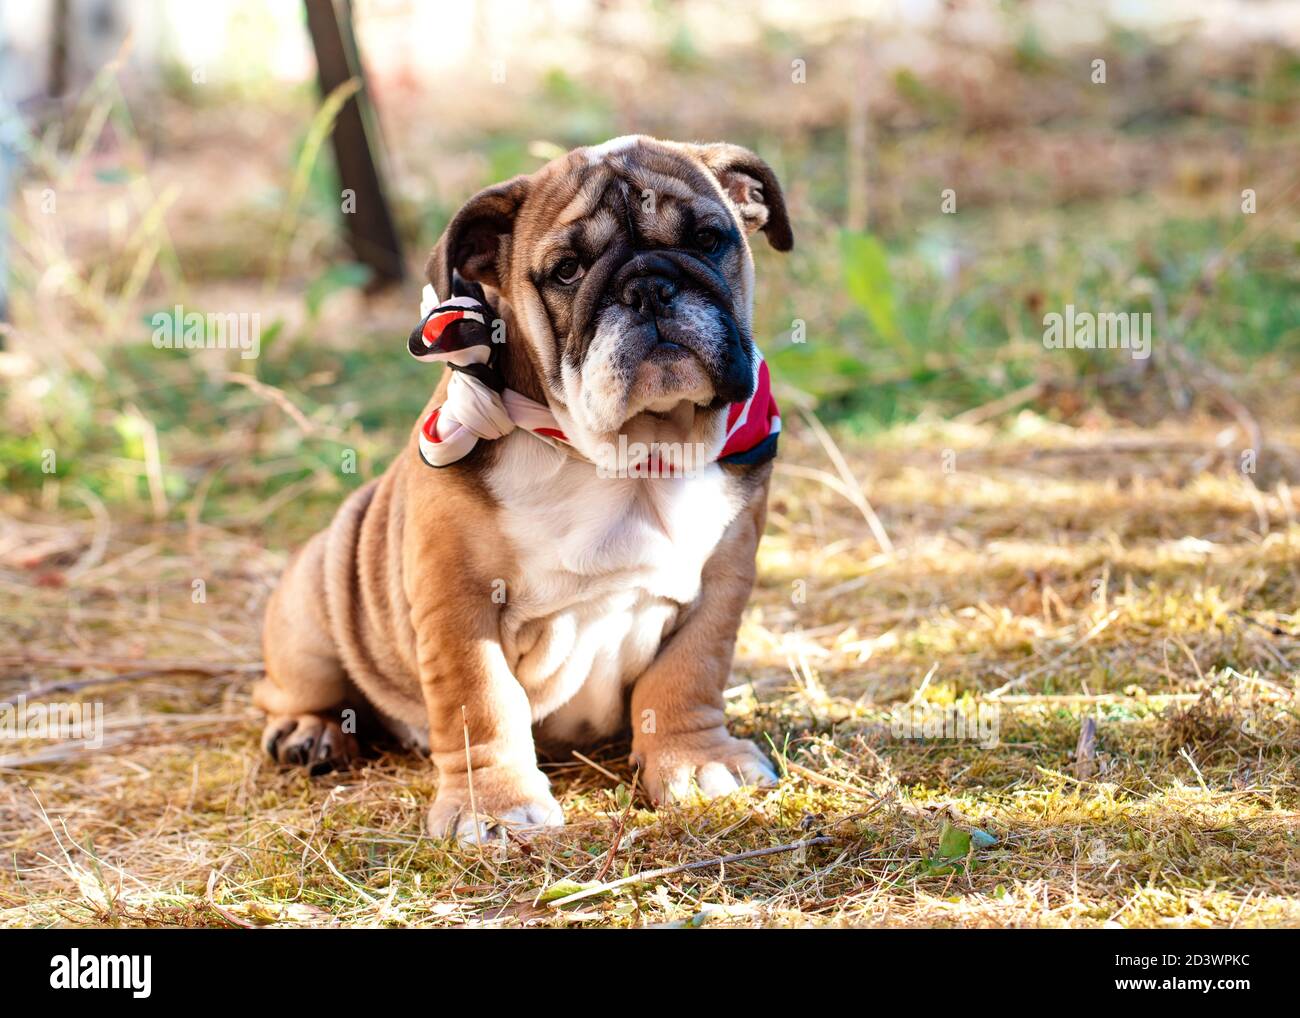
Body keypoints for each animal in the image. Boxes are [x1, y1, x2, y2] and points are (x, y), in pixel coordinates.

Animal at [256, 131, 790, 842]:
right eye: (566, 271)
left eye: (708, 239)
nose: (650, 286)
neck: (629, 454)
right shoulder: (458, 605)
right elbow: (479, 701)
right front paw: (496, 805)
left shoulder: (722, 582)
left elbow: (688, 675)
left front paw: (700, 761)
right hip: (312, 610)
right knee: (291, 687)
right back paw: (308, 732)